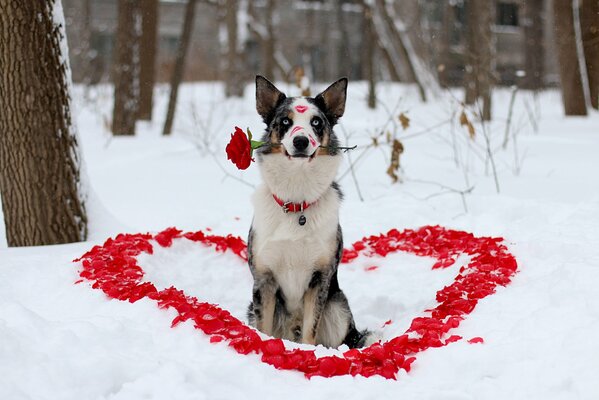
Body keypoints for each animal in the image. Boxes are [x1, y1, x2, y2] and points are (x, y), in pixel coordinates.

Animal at [246, 76, 372, 348]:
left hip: (338, 308)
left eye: (316, 122)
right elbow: (264, 329)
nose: (301, 141)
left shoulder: (320, 278)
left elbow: (310, 331)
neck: (297, 201)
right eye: (285, 121)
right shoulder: (264, 279)